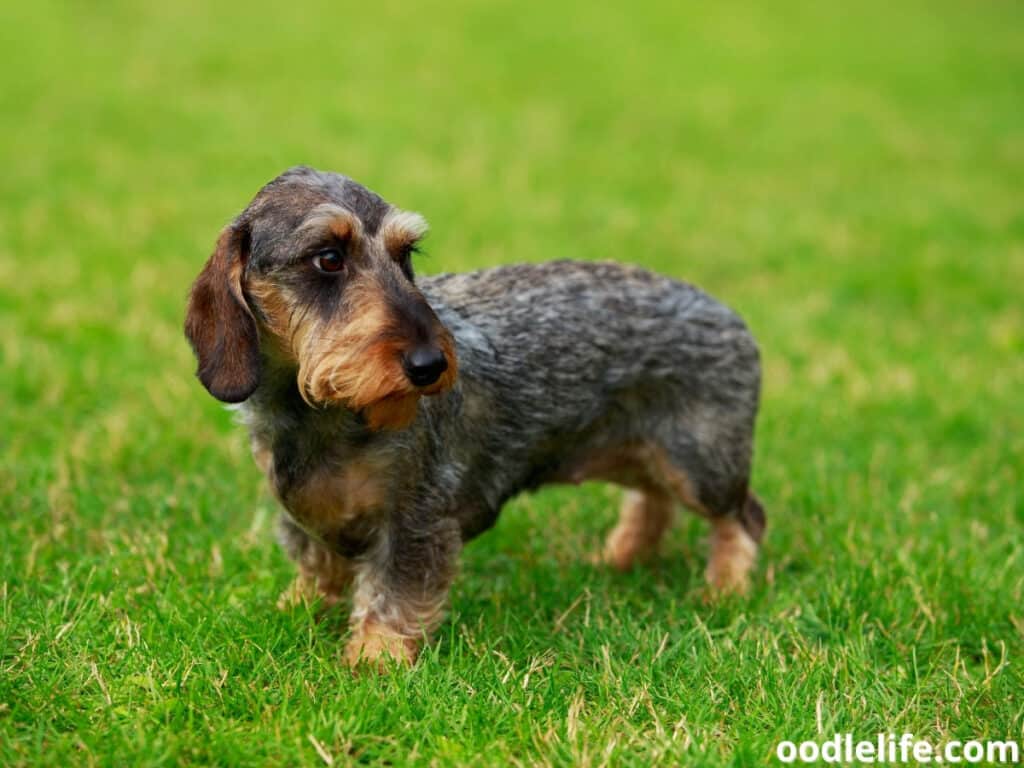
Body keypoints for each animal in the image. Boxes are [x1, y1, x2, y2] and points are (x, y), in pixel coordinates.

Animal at [184, 166, 765, 667]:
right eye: (328, 257)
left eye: (406, 253)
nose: (431, 365)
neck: (320, 415)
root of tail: (727, 313)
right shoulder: (307, 516)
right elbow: (317, 569)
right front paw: (295, 611)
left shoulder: (415, 519)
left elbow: (393, 592)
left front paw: (375, 658)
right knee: (652, 501)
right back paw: (622, 556)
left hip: (701, 466)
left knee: (742, 518)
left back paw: (723, 590)